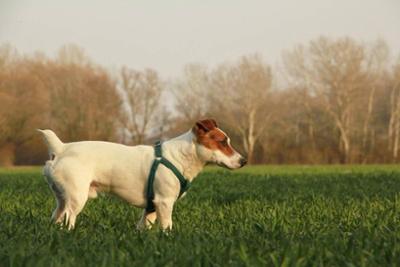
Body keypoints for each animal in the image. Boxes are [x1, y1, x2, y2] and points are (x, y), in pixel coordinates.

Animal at [39, 119, 247, 230]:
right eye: (223, 142)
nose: (244, 161)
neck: (180, 157)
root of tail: (62, 148)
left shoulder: (151, 207)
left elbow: (143, 226)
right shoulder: (164, 202)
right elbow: (167, 226)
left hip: (62, 199)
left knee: (56, 217)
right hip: (76, 199)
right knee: (68, 219)